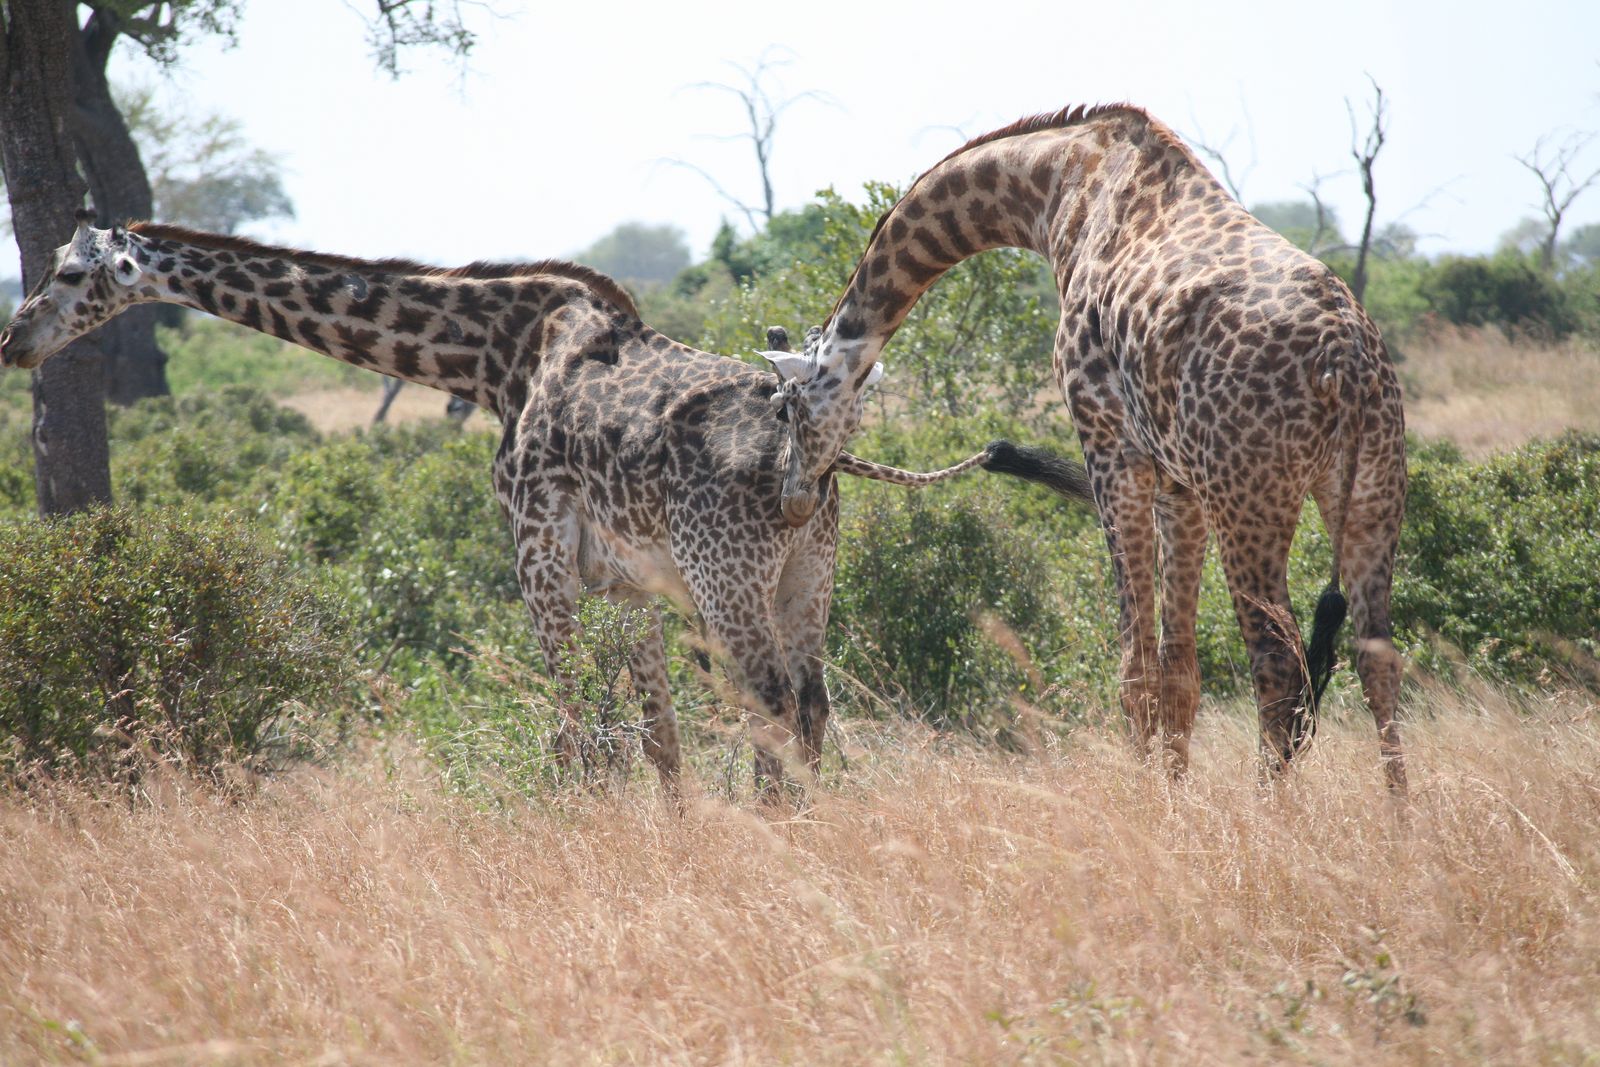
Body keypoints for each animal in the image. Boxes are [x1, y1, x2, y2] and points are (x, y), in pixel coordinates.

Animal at [0, 214, 1094, 793]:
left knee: (774, 703)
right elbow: (656, 739)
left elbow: (570, 736)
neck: (490, 358)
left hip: (729, 578)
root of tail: (815, 451)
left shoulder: (536, 559)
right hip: (808, 573)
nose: (15, 340)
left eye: (67, 271)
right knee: (813, 703)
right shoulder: (630, 586)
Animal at [780, 106, 1408, 793]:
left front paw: (1150, 801)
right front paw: (1176, 795)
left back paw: (1272, 810)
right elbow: (1178, 670)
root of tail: (1345, 360)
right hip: (1371, 489)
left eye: (788, 407)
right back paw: (1400, 817)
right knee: (1378, 659)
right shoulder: (1179, 485)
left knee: (1277, 660)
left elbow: (1134, 667)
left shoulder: (1108, 445)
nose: (791, 498)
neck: (1059, 191)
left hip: (1251, 496)